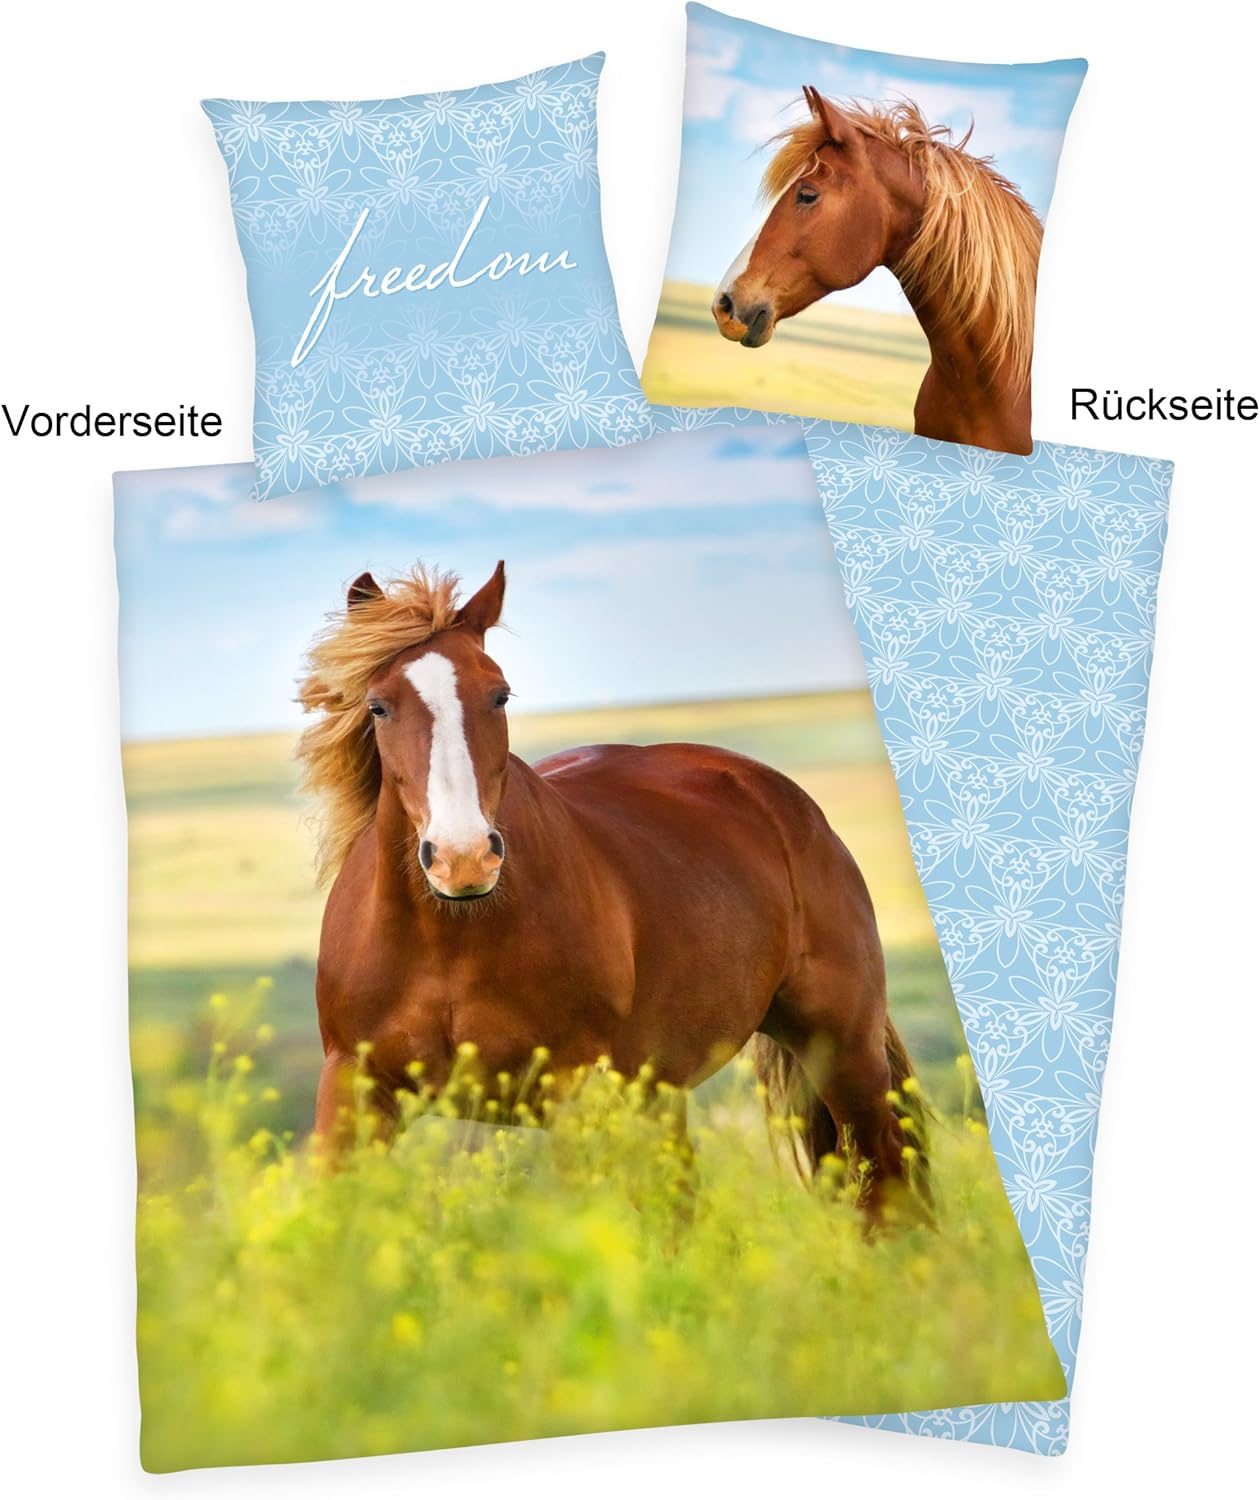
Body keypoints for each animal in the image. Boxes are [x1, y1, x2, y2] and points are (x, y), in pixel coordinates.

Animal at [296, 561, 928, 1214]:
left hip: (843, 1051)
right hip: (663, 1090)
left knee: (884, 1180)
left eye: (499, 695)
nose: (463, 858)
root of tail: (775, 794)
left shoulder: (571, 1093)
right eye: (378, 707)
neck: (450, 938)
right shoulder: (354, 1089)